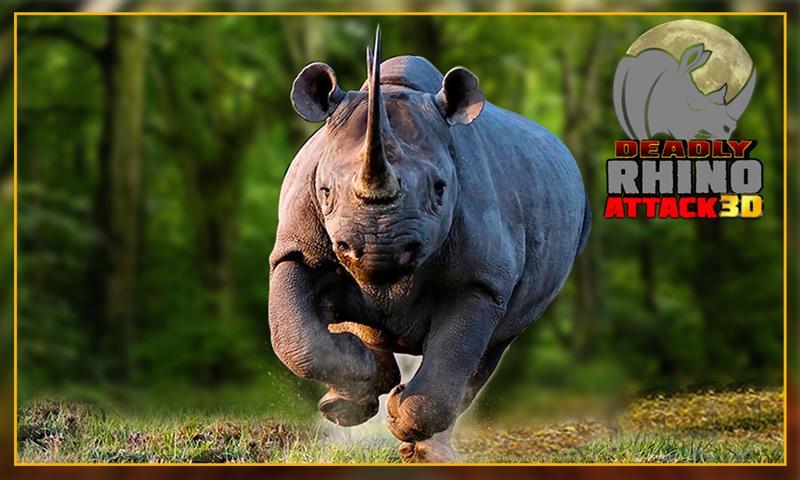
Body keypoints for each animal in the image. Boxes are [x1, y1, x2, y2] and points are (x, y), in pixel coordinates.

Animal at [268, 27, 591, 462]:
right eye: (325, 190)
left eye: (440, 190)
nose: (378, 248)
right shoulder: (298, 249)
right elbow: (295, 336)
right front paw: (362, 379)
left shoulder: (480, 281)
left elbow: (454, 356)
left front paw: (399, 414)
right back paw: (347, 401)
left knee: (490, 349)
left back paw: (426, 449)